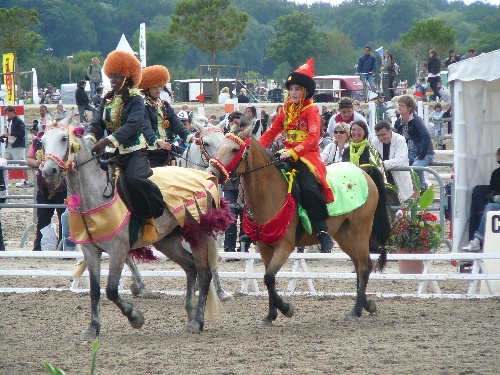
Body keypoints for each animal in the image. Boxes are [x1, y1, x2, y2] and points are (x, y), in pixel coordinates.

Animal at [40, 113, 232, 340]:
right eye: (42, 141)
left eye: (63, 138)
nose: (49, 171)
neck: (94, 194)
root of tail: (204, 178)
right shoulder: (91, 251)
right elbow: (96, 290)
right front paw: (93, 328)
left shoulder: (117, 249)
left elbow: (111, 290)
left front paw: (135, 317)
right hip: (167, 241)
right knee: (190, 266)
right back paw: (185, 308)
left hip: (198, 233)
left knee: (203, 272)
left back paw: (197, 321)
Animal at [207, 123, 390, 326]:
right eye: (220, 146)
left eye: (234, 149)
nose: (212, 173)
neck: (270, 193)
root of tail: (364, 171)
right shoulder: (264, 247)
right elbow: (268, 279)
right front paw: (271, 315)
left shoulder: (285, 247)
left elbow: (268, 278)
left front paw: (286, 309)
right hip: (343, 234)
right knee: (359, 265)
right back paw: (367, 304)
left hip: (360, 230)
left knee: (364, 266)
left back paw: (356, 309)